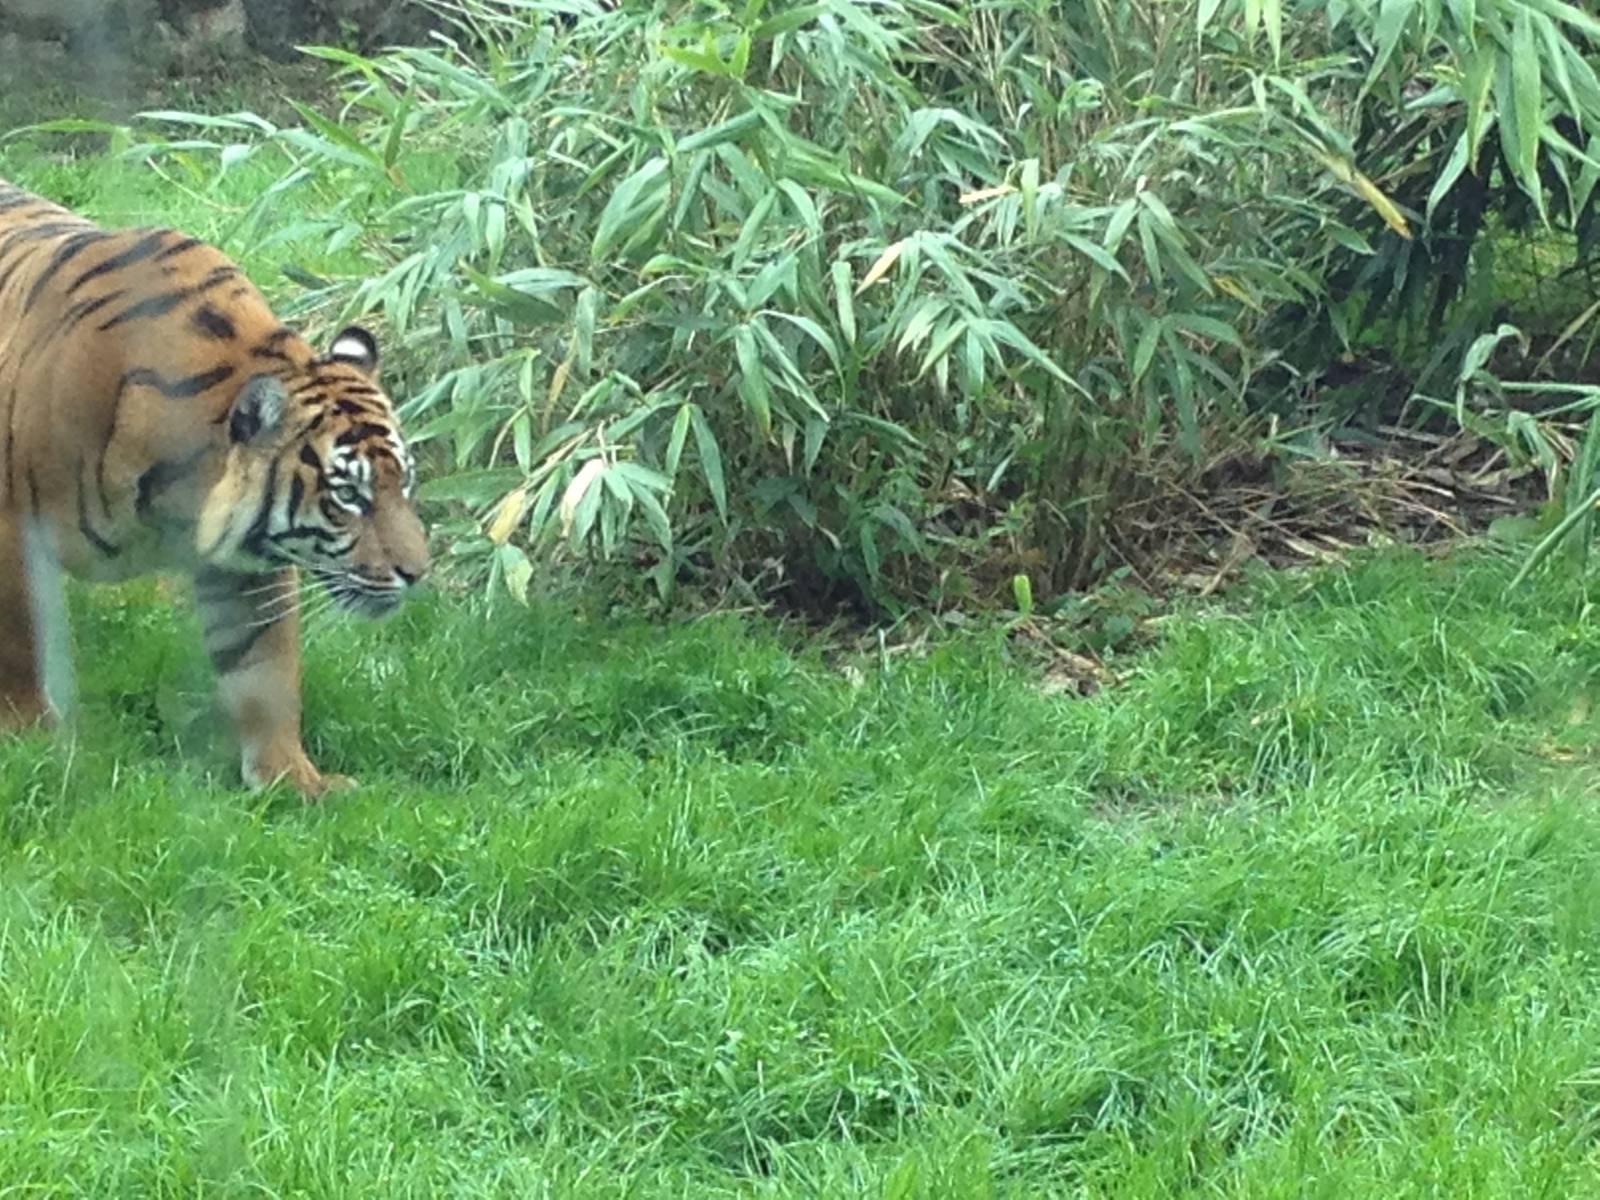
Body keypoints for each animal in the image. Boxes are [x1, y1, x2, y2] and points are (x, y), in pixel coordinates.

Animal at [0, 176, 428, 797]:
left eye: (405, 482)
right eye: (349, 495)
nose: (418, 574)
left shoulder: (245, 564)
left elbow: (266, 668)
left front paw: (292, 779)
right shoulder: (12, 533)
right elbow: (21, 646)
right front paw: (33, 743)